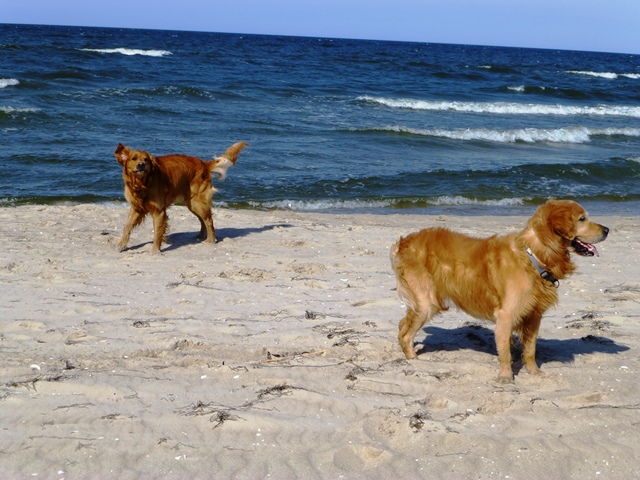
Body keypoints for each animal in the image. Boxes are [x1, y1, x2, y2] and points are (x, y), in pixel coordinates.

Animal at [115, 140, 248, 251]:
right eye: (134, 158)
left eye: (146, 160)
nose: (141, 165)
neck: (142, 184)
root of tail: (203, 163)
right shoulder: (137, 208)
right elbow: (127, 227)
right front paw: (121, 245)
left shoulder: (159, 212)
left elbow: (157, 233)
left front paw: (155, 251)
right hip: (191, 203)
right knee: (202, 220)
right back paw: (200, 236)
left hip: (197, 202)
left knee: (209, 220)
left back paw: (210, 240)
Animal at [390, 201, 608, 384]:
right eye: (582, 219)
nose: (607, 229)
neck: (533, 256)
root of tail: (403, 242)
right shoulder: (506, 315)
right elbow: (505, 350)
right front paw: (505, 377)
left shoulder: (533, 315)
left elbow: (530, 349)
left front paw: (534, 372)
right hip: (427, 302)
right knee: (406, 333)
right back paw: (413, 358)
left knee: (402, 325)